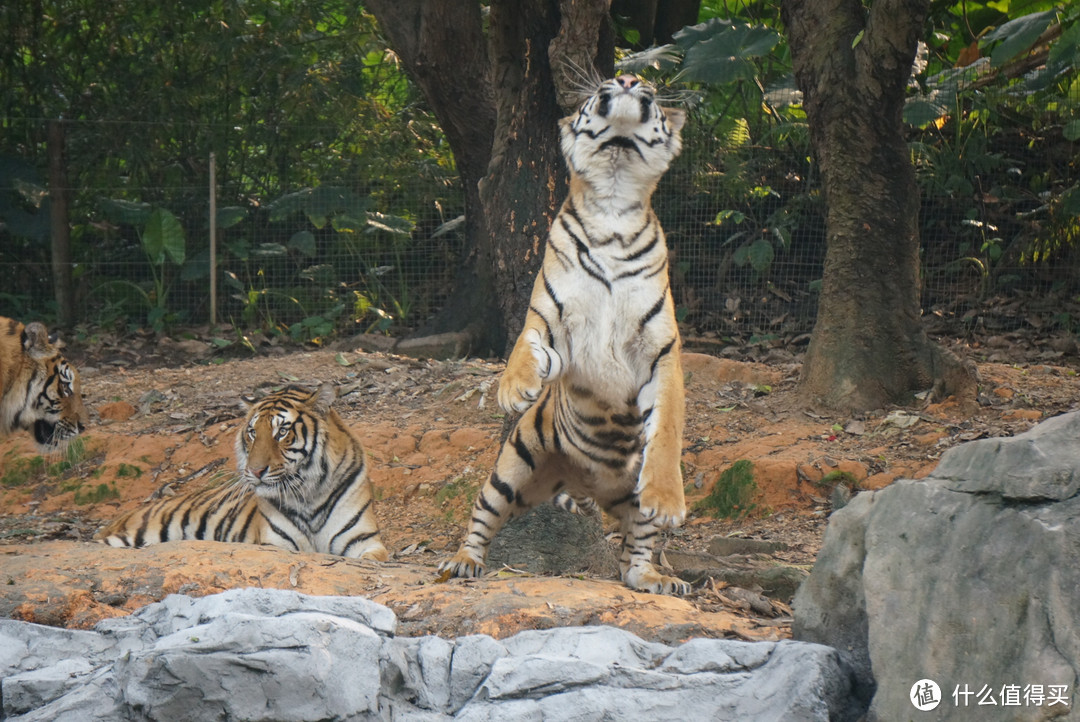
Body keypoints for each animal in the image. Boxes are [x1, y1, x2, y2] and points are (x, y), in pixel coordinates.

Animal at [93, 382, 388, 556]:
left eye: (282, 431)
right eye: (252, 432)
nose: (256, 471)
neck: (309, 493)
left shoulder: (365, 542)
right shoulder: (276, 544)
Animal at [440, 73, 686, 595]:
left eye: (649, 88)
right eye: (607, 82)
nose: (630, 78)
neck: (613, 201)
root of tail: (586, 485)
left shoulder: (661, 353)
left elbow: (668, 431)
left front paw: (668, 500)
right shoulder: (554, 322)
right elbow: (524, 343)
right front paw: (514, 388)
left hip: (625, 507)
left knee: (633, 552)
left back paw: (654, 578)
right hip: (512, 472)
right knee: (481, 515)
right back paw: (462, 562)